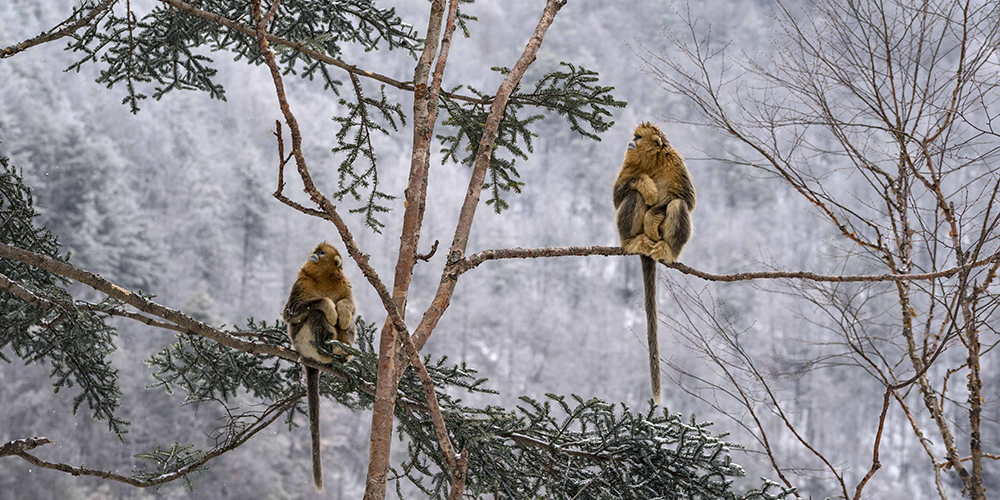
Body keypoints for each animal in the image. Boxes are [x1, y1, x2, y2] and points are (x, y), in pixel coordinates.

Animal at [284, 242, 358, 492]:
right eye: (316, 251)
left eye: (322, 252)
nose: (313, 255)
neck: (323, 277)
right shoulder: (302, 282)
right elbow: (293, 311)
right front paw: (329, 308)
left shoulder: (344, 282)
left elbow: (348, 305)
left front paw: (342, 311)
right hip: (301, 341)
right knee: (316, 316)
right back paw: (326, 348)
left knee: (348, 325)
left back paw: (341, 353)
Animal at [608, 122, 696, 406]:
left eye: (637, 137)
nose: (630, 142)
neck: (653, 161)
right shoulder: (629, 164)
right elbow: (620, 195)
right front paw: (646, 186)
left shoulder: (675, 161)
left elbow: (686, 200)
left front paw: (652, 217)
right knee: (633, 196)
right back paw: (633, 240)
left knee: (678, 204)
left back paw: (666, 250)